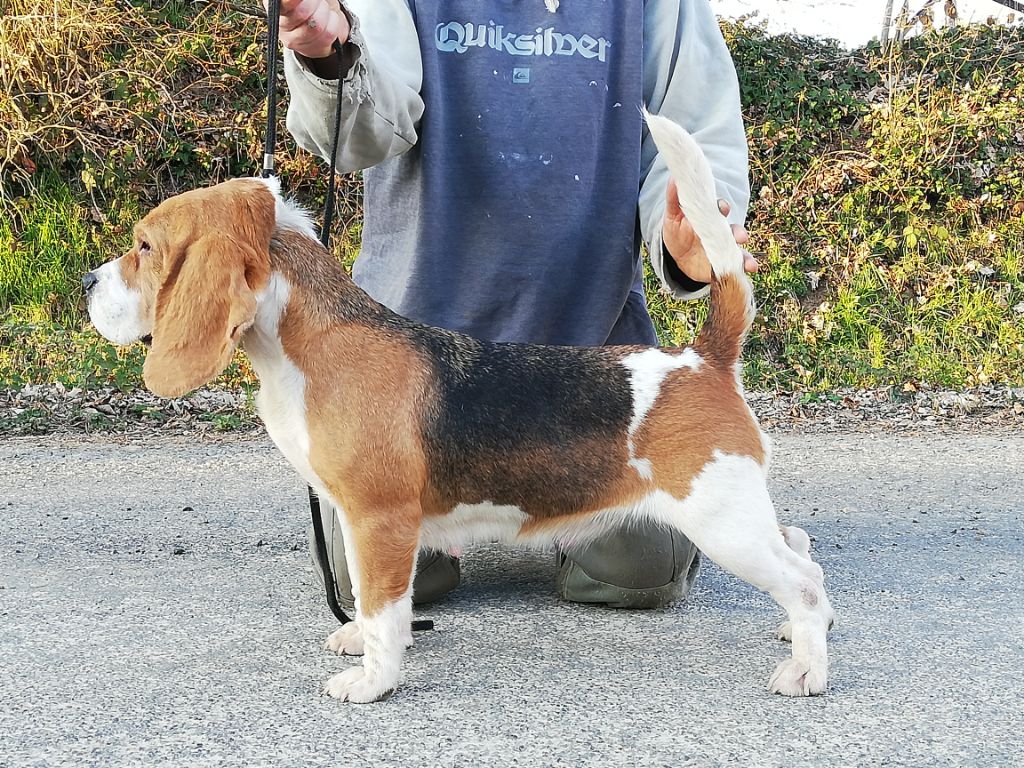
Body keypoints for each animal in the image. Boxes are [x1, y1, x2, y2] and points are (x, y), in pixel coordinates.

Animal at [79, 112, 831, 704]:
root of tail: (705, 358)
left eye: (145, 247)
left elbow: (386, 610)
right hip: (735, 513)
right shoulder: (362, 522)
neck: (313, 338)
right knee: (802, 553)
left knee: (803, 580)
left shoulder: (380, 520)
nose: (86, 280)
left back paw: (807, 670)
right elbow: (375, 605)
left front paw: (375, 681)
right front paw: (360, 642)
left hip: (719, 520)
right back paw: (801, 634)